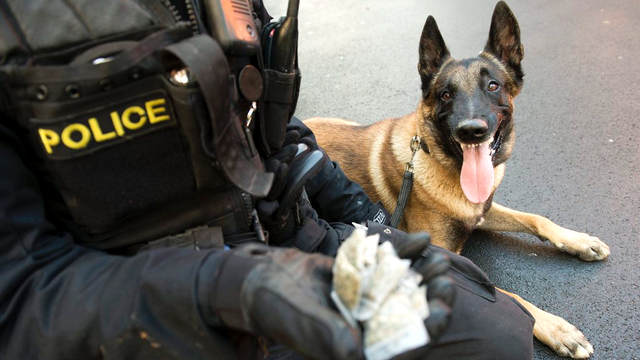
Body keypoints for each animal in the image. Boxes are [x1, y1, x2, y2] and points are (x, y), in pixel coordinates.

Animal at [304, 2, 608, 358]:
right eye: (446, 94)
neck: (437, 160)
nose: (471, 130)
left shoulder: (481, 210)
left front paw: (579, 240)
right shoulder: (442, 260)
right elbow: (509, 295)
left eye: (493, 86)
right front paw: (556, 327)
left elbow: (536, 218)